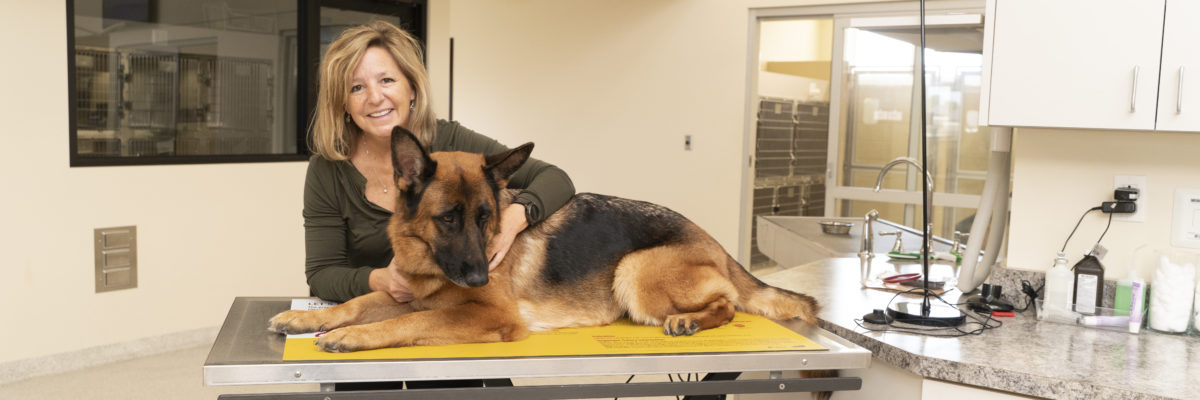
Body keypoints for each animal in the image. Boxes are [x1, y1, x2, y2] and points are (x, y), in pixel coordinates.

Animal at [267, 126, 820, 350]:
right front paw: (306, 318)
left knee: (726, 303)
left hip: (633, 269)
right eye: (448, 219)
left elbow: (405, 322)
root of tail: (715, 243)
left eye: (486, 217)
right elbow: (359, 302)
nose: (478, 275)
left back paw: (690, 320)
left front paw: (353, 337)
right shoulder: (405, 292)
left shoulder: (488, 315)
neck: (429, 261)